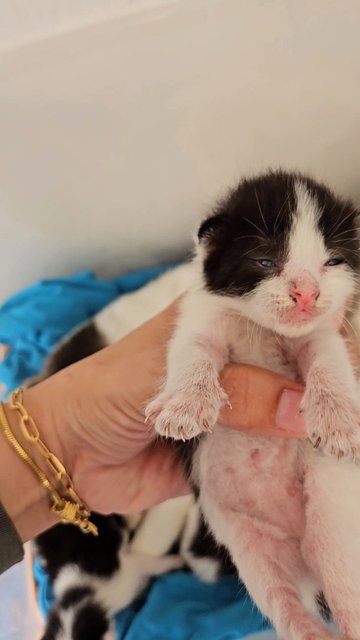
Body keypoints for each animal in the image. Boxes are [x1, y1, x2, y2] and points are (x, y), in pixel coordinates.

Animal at [146, 171, 360, 640]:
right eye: (264, 261)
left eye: (333, 262)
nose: (306, 294)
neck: (260, 329)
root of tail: (301, 546)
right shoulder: (200, 319)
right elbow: (191, 352)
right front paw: (185, 405)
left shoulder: (321, 334)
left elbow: (328, 358)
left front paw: (340, 421)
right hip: (252, 545)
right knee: (285, 602)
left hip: (334, 521)